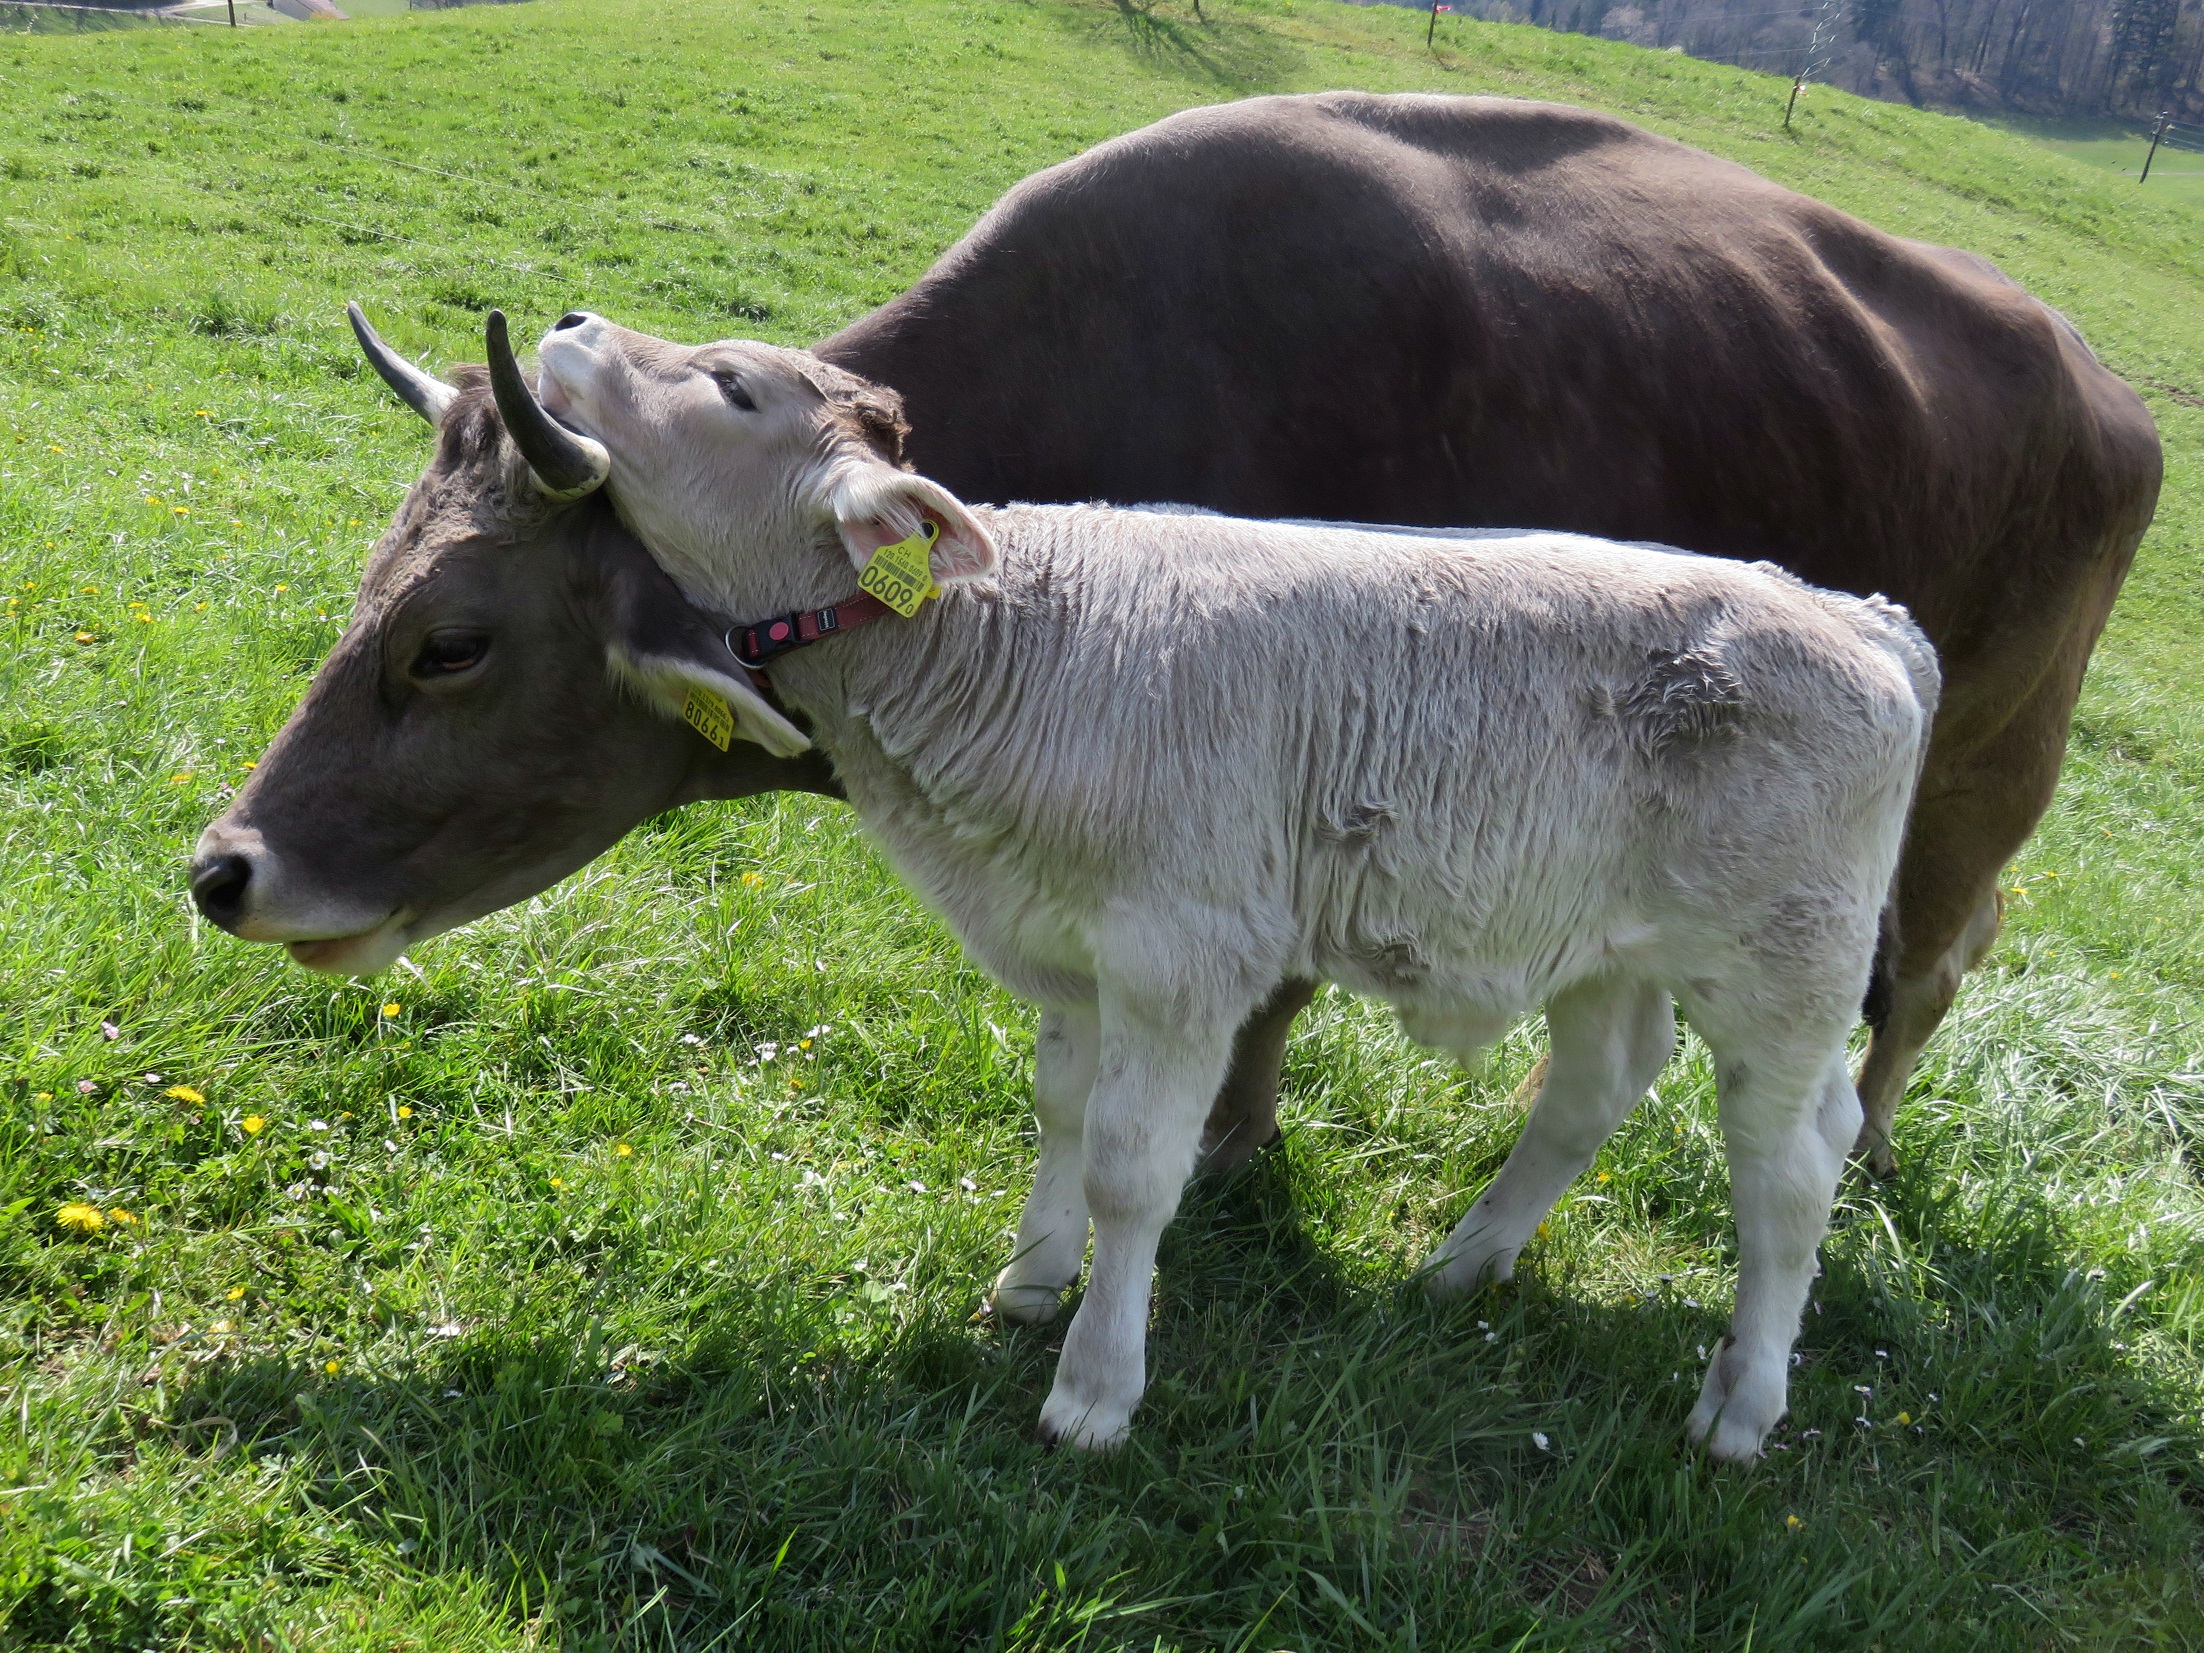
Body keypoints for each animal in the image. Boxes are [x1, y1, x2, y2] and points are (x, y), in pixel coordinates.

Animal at [189, 93, 2151, 1181]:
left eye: (449, 643)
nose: (223, 865)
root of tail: (2098, 379)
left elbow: (1255, 1006)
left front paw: (1223, 1146)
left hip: (1991, 768)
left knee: (1929, 966)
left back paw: (1870, 1147)